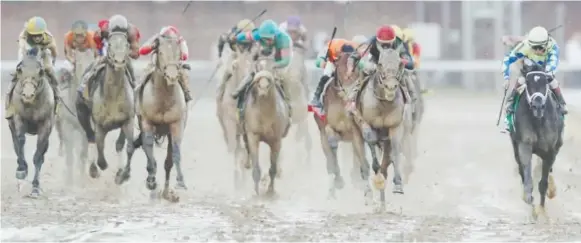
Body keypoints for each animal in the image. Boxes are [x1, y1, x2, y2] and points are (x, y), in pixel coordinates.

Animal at [7, 54, 56, 197]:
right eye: (20, 70)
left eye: (40, 72)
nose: (28, 95)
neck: (32, 104)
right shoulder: (19, 118)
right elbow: (20, 141)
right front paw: (21, 170)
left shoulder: (46, 125)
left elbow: (38, 155)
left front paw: (35, 188)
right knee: (16, 144)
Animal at [55, 48, 93, 183]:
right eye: (78, 64)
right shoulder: (67, 126)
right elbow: (70, 156)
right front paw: (69, 181)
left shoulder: (86, 130)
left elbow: (82, 154)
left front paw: (81, 180)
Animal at [75, 31, 136, 181]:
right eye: (110, 45)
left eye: (126, 44)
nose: (119, 61)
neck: (113, 95)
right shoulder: (100, 124)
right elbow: (100, 148)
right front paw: (101, 167)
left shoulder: (128, 120)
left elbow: (126, 146)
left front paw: (123, 174)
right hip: (81, 113)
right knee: (90, 137)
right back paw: (93, 169)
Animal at [133, 34, 187, 201]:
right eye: (161, 52)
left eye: (179, 54)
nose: (172, 76)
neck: (163, 98)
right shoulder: (147, 122)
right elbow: (148, 146)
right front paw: (151, 180)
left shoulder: (176, 124)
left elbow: (175, 153)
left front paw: (180, 182)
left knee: (168, 162)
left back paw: (166, 192)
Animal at [508, 58, 560, 219]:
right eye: (528, 82)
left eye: (545, 81)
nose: (537, 106)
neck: (538, 121)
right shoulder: (524, 145)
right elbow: (527, 179)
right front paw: (530, 202)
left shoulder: (550, 150)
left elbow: (543, 183)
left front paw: (542, 211)